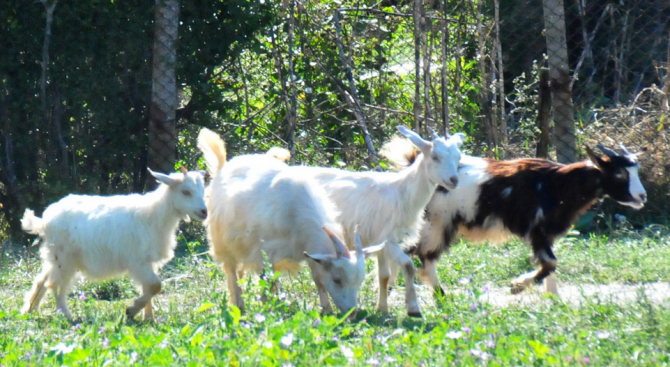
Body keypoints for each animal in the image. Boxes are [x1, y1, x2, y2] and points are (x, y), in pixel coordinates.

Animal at [21, 167, 207, 322]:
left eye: (202, 190)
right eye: (185, 192)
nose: (204, 212)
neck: (153, 215)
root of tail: (43, 221)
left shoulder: (148, 260)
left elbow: (149, 288)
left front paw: (149, 318)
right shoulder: (138, 261)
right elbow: (155, 286)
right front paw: (132, 310)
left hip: (55, 257)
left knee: (42, 280)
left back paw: (29, 310)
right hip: (65, 259)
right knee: (56, 286)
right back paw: (67, 316)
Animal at [197, 128, 386, 314]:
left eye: (359, 281)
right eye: (337, 279)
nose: (352, 313)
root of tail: (223, 167)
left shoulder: (310, 250)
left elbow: (318, 279)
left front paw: (327, 310)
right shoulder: (265, 251)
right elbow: (267, 280)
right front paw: (268, 308)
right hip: (222, 240)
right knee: (231, 271)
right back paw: (238, 304)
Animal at [280, 126, 468, 316]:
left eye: (458, 157)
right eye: (435, 157)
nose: (454, 180)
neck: (401, 192)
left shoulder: (381, 241)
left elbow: (384, 276)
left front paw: (383, 309)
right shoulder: (387, 238)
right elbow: (408, 265)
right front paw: (413, 308)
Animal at [406, 142, 648, 298]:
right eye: (619, 173)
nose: (642, 197)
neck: (556, 184)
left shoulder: (547, 233)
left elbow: (550, 266)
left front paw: (554, 299)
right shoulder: (537, 230)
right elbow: (550, 263)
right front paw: (518, 286)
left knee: (422, 256)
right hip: (435, 223)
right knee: (423, 255)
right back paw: (439, 295)